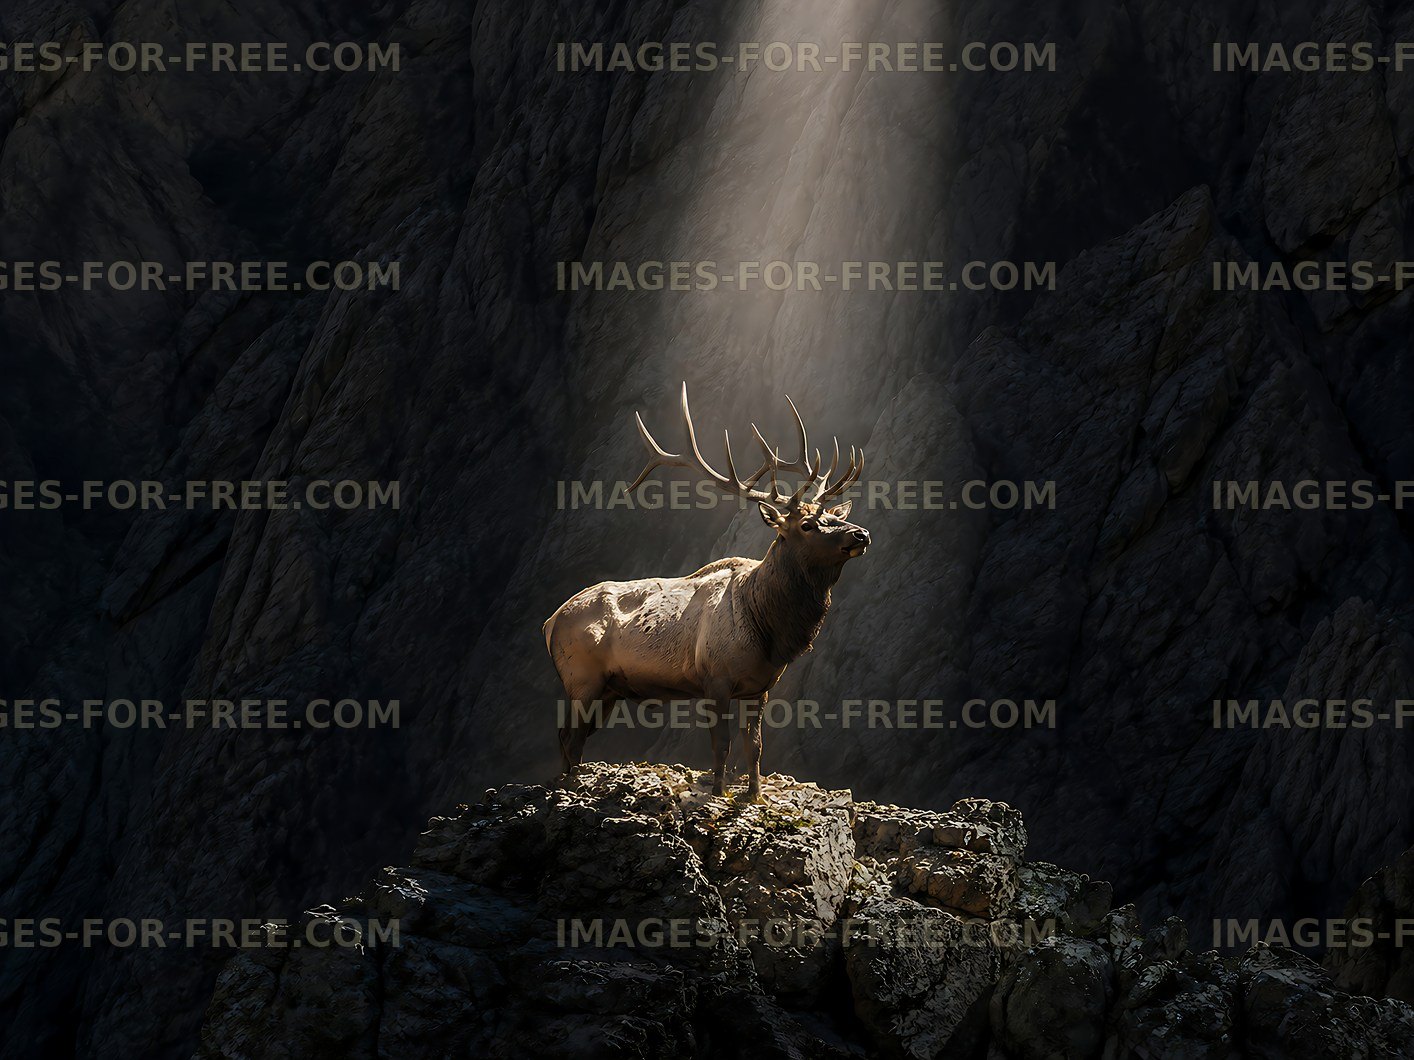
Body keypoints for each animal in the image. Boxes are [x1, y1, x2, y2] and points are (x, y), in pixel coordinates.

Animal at [543, 383, 870, 801]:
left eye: (834, 515)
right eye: (809, 525)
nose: (860, 534)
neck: (769, 629)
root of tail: (550, 621)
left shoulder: (760, 688)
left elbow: (754, 745)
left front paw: (754, 793)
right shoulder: (714, 677)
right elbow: (722, 744)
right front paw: (717, 791)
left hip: (608, 690)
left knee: (572, 735)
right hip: (581, 677)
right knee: (570, 735)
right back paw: (570, 786)